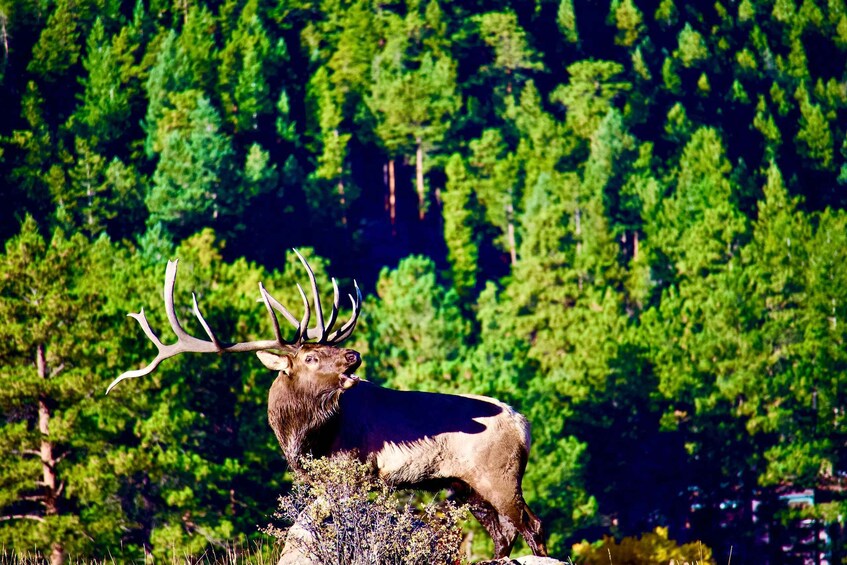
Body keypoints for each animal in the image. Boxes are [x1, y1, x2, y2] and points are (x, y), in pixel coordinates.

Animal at [107, 250, 547, 559]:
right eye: (312, 356)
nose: (353, 354)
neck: (302, 438)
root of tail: (523, 423)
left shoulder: (354, 470)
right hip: (465, 486)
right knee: (504, 534)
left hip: (497, 475)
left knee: (533, 525)